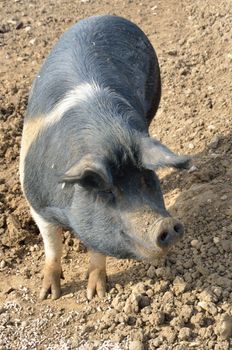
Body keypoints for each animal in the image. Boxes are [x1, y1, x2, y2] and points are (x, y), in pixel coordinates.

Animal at [20, 15, 190, 300]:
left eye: (147, 180)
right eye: (108, 192)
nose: (166, 224)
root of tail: (109, 16)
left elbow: (97, 248)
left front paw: (95, 294)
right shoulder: (36, 203)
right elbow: (52, 246)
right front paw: (49, 295)